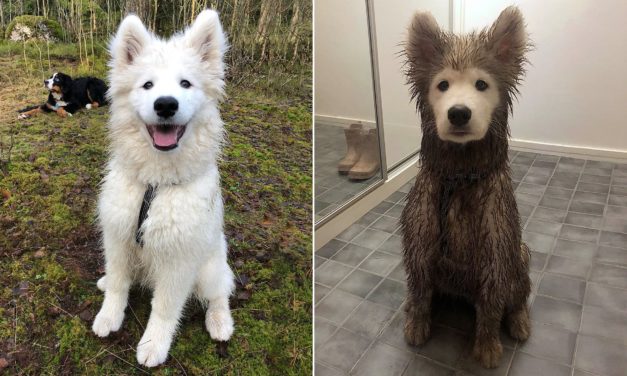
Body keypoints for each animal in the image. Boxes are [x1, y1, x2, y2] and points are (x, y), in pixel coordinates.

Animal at [89, 9, 234, 368]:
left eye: (186, 83)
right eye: (147, 84)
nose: (165, 104)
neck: (155, 185)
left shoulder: (178, 259)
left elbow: (165, 308)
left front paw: (154, 344)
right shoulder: (117, 237)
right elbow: (118, 285)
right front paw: (108, 317)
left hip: (210, 266)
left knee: (221, 292)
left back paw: (220, 322)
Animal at [400, 7, 532, 368]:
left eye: (481, 84)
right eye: (442, 85)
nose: (459, 113)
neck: (459, 179)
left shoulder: (496, 252)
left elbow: (491, 307)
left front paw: (486, 345)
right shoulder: (420, 244)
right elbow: (420, 293)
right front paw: (417, 323)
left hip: (520, 255)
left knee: (518, 297)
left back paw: (519, 321)